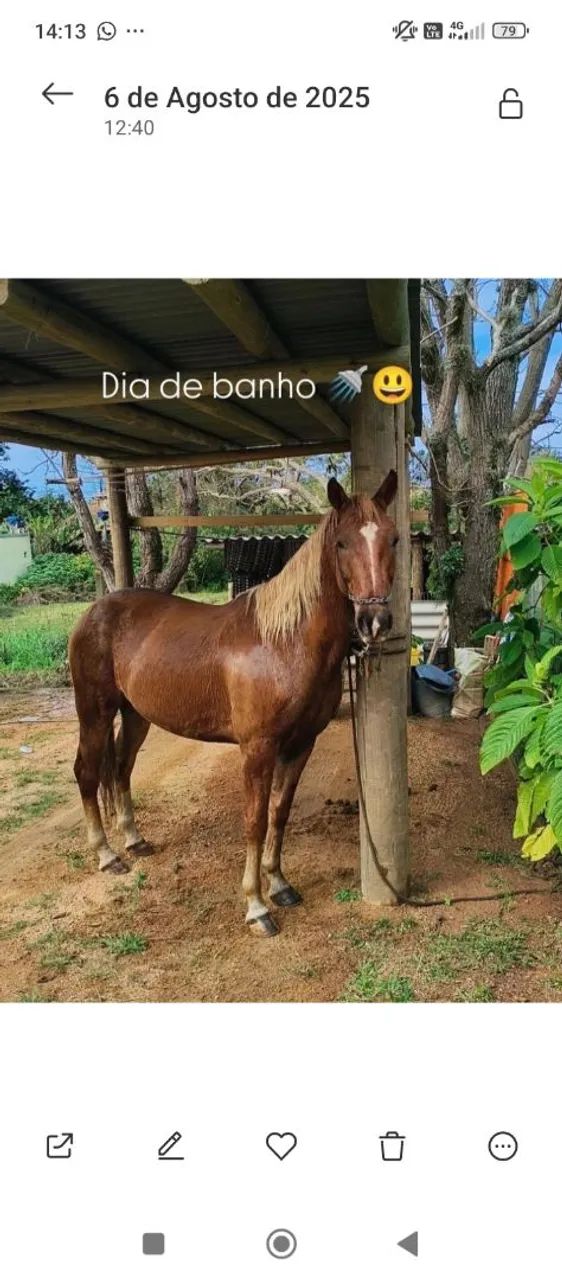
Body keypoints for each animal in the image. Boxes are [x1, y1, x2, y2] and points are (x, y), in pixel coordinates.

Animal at [69, 470, 399, 937]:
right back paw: (107, 855)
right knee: (86, 771)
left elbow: (279, 813)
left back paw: (134, 840)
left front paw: (280, 884)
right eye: (342, 543)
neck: (283, 643)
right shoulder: (257, 749)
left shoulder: (301, 744)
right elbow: (255, 821)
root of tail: (95, 611)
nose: (375, 622)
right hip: (94, 711)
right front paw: (256, 906)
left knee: (120, 767)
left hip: (135, 716)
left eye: (393, 539)